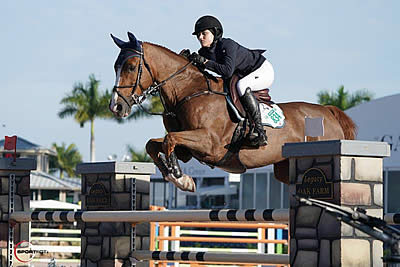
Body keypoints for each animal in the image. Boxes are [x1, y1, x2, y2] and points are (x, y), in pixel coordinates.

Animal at [109, 32, 356, 193]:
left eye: (131, 67)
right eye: (115, 67)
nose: (116, 107)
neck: (189, 92)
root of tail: (329, 112)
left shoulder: (210, 143)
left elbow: (169, 139)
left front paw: (181, 179)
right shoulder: (188, 149)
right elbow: (153, 144)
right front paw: (174, 175)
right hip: (285, 169)